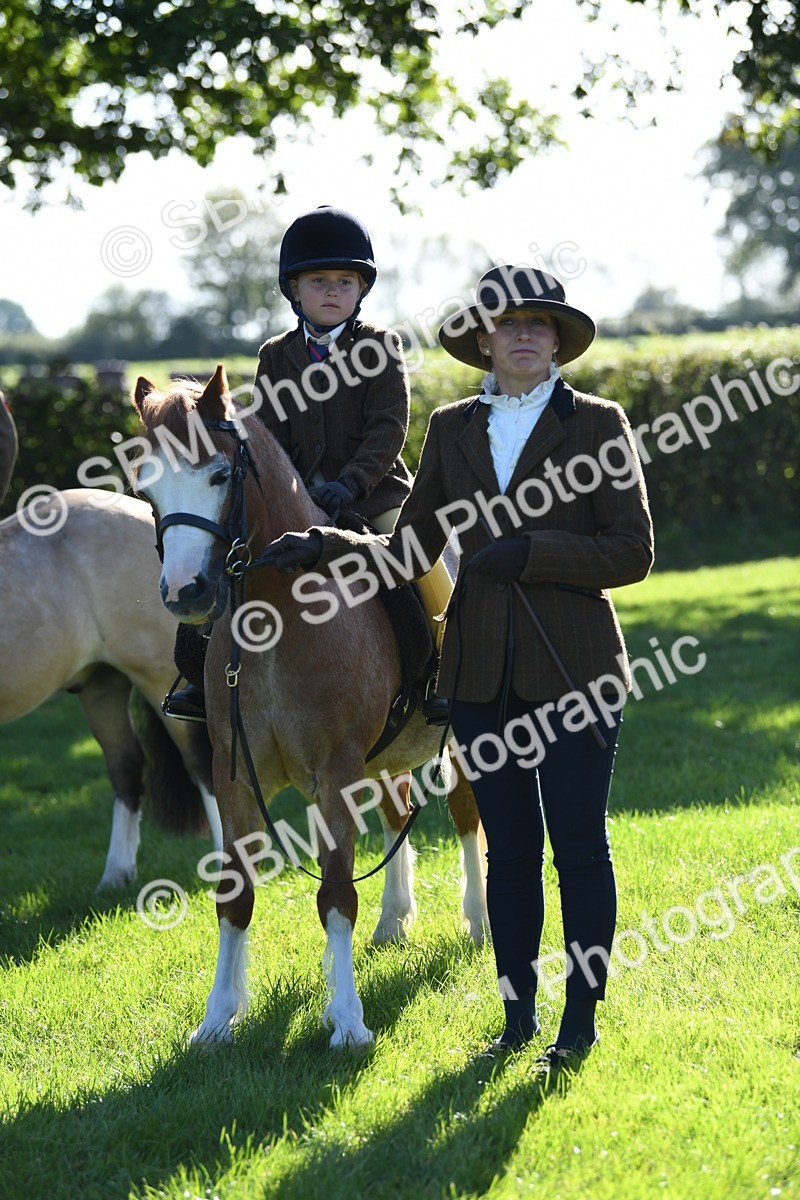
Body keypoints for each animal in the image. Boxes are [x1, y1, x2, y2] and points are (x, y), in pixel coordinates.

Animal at [131, 364, 488, 1048]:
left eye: (219, 475)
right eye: (147, 488)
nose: (185, 593)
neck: (276, 615)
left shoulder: (336, 771)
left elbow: (336, 895)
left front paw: (347, 1020)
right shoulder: (235, 778)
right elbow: (235, 896)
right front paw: (217, 1018)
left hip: (457, 742)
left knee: (467, 817)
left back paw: (479, 921)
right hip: (382, 760)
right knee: (397, 811)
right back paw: (394, 921)